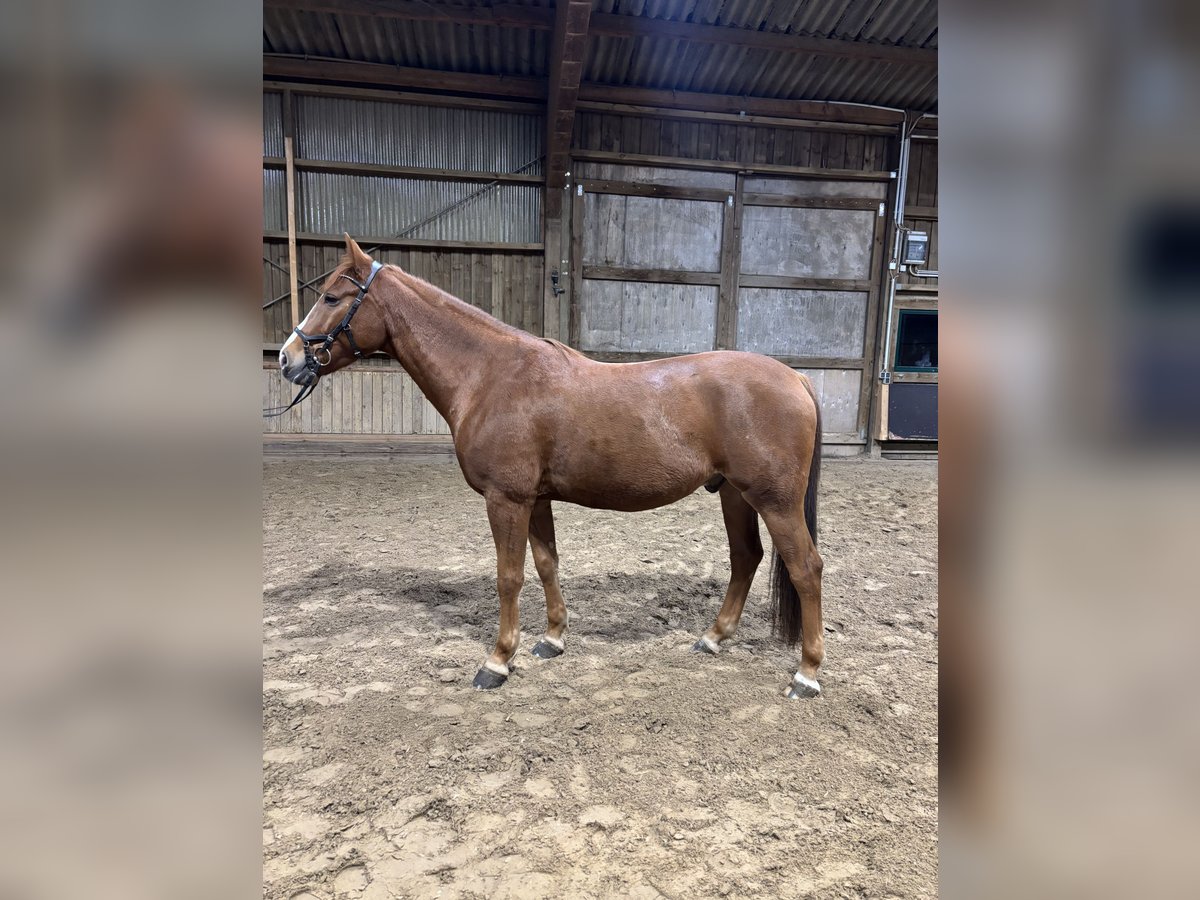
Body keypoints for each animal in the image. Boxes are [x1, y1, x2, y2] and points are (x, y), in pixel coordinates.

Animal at [277, 234, 825, 700]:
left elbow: (509, 576)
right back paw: (712, 638)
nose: (287, 358)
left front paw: (497, 662)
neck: (490, 376)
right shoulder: (535, 499)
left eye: (331, 297)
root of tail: (795, 378)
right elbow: (546, 565)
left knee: (806, 568)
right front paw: (552, 640)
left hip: (774, 500)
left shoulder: (506, 498)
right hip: (734, 493)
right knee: (746, 558)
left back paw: (806, 674)